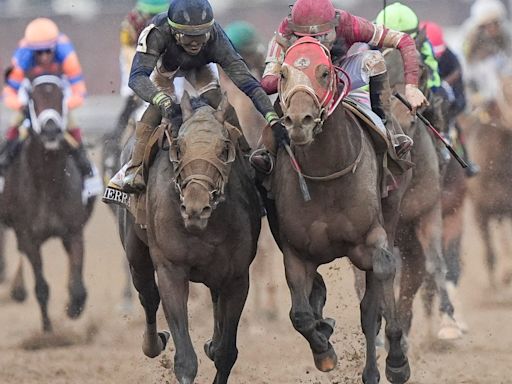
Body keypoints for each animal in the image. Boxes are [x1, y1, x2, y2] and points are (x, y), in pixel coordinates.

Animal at [0, 74, 95, 330]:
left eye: (61, 95)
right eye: (33, 98)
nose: (51, 130)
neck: (48, 182)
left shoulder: (73, 231)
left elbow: (78, 287)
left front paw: (73, 308)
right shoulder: (28, 236)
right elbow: (41, 287)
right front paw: (48, 330)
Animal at [266, 36, 410, 384]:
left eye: (324, 72)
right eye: (283, 74)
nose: (299, 122)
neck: (326, 174)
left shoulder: (370, 239)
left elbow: (382, 277)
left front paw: (397, 360)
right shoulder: (295, 253)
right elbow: (300, 314)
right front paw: (324, 351)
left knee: (371, 307)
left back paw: (379, 367)